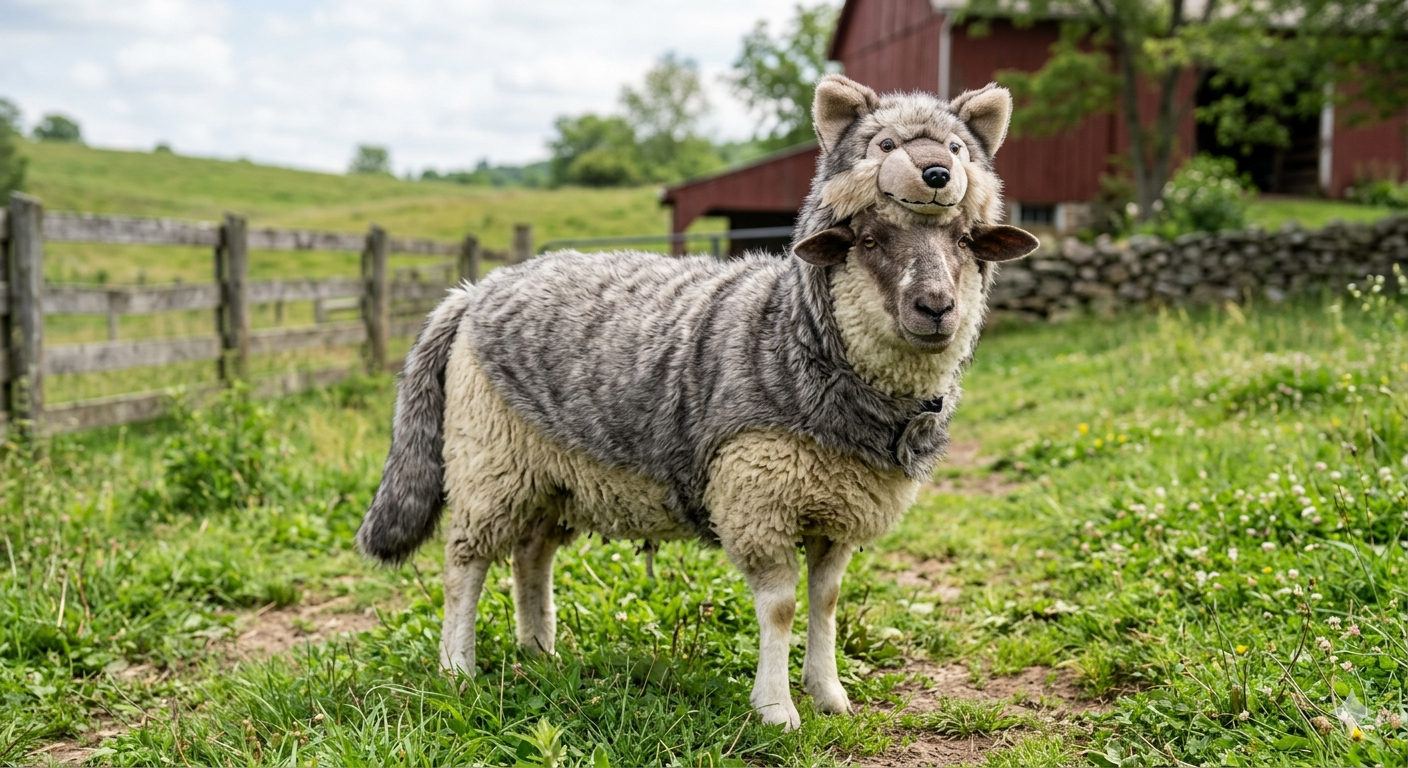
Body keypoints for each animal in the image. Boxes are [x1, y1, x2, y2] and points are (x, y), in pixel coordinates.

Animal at [357, 85, 1037, 731]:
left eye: (965, 241)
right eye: (869, 238)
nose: (937, 308)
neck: (794, 338)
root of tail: (475, 291)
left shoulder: (839, 511)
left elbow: (826, 601)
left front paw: (829, 695)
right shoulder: (757, 497)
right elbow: (781, 607)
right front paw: (776, 710)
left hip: (552, 470)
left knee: (531, 555)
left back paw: (540, 653)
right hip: (487, 462)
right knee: (464, 563)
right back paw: (458, 668)